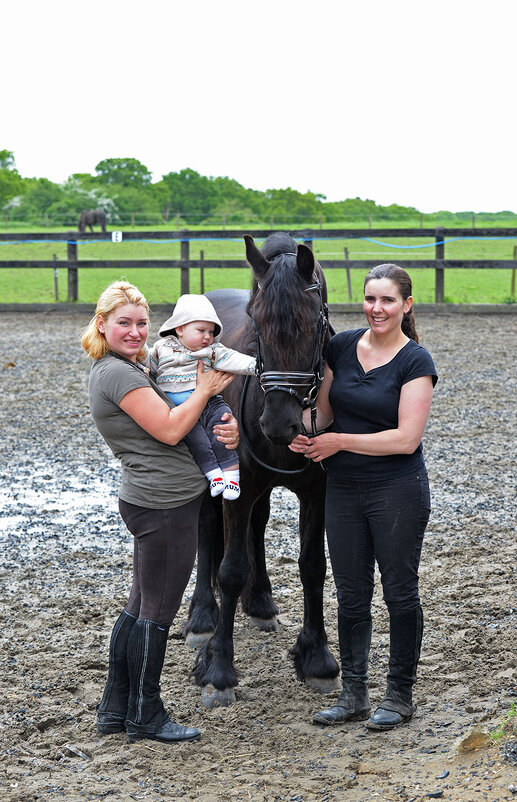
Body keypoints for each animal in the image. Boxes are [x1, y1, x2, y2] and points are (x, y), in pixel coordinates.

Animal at [184, 233, 338, 708]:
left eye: (313, 325)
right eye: (258, 325)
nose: (279, 423)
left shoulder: (317, 493)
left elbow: (312, 566)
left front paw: (317, 658)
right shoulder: (239, 486)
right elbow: (230, 569)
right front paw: (218, 669)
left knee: (257, 526)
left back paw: (261, 604)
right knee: (206, 531)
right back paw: (202, 618)